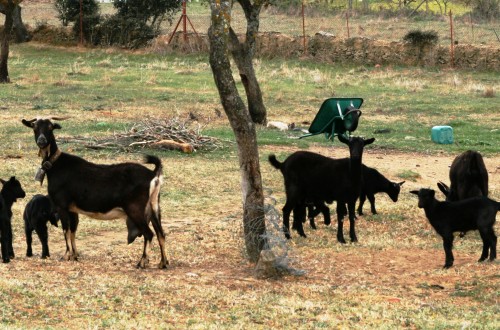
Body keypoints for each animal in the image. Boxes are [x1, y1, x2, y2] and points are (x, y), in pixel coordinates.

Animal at [22, 118, 168, 268]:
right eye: (34, 127)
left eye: (50, 127)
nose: (42, 140)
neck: (55, 165)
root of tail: (153, 175)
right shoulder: (72, 209)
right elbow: (72, 231)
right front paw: (75, 256)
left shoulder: (62, 205)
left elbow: (65, 230)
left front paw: (66, 255)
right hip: (154, 206)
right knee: (160, 234)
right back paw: (163, 263)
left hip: (136, 209)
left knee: (149, 234)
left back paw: (141, 262)